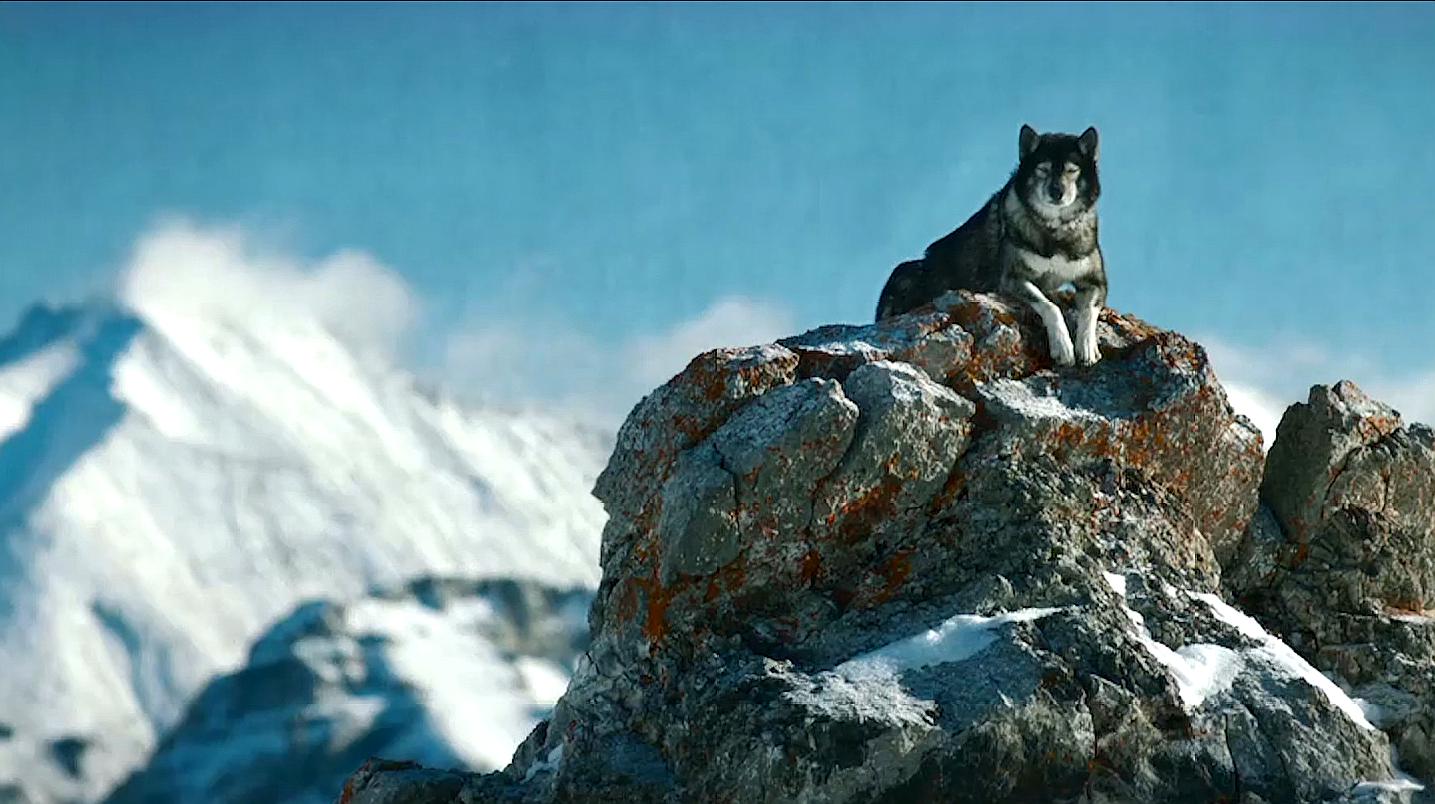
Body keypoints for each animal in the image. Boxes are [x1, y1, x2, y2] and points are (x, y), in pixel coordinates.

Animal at [878, 124, 1102, 366]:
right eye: (1042, 169)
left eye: (1072, 170)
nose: (1056, 192)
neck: (1055, 230)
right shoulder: (1012, 279)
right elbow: (1051, 306)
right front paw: (1063, 346)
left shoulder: (1097, 281)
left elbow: (1089, 311)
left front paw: (1087, 346)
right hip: (908, 270)